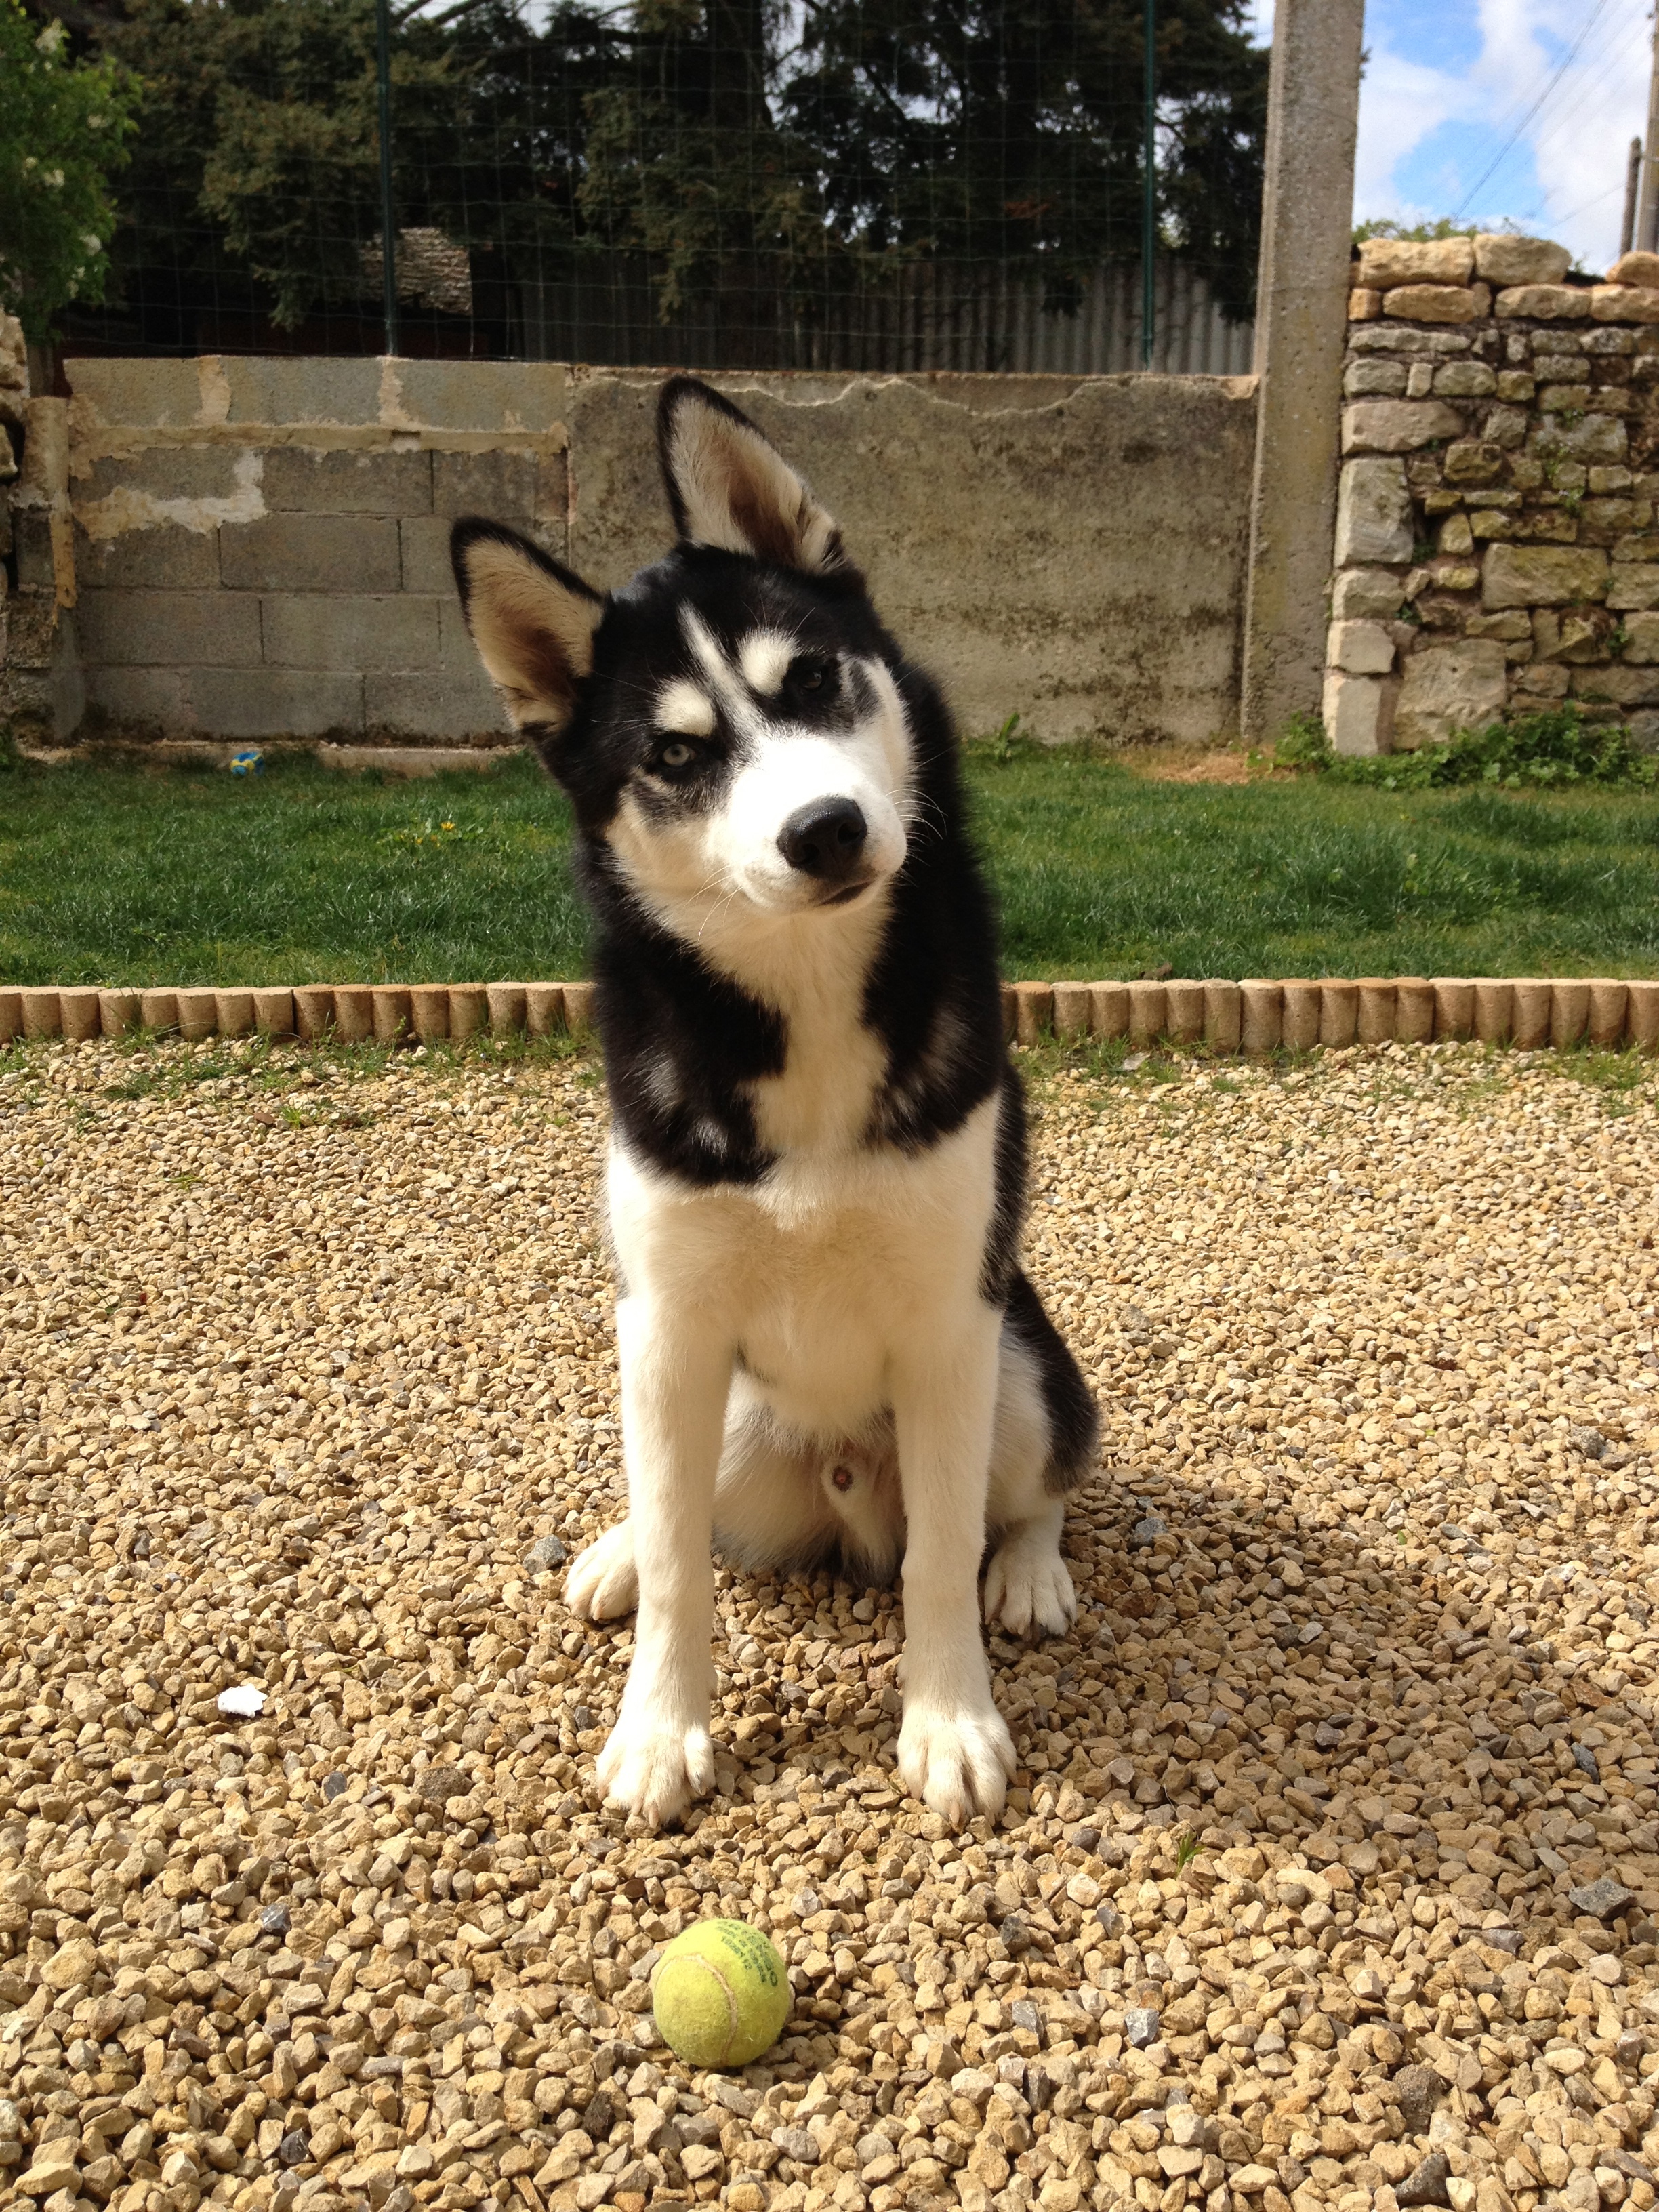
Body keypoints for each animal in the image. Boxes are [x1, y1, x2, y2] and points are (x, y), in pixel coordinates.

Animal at [455, 384, 1097, 1831]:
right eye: (674, 753)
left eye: (809, 679)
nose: (825, 828)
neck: (802, 998)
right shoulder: (669, 1319)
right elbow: (682, 1567)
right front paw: (658, 1727)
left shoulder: (950, 1318)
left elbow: (940, 1557)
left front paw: (947, 1718)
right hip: (724, 1409)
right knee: (680, 1507)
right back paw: (615, 1544)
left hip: (1020, 1361)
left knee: (1021, 1490)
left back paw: (1027, 1567)